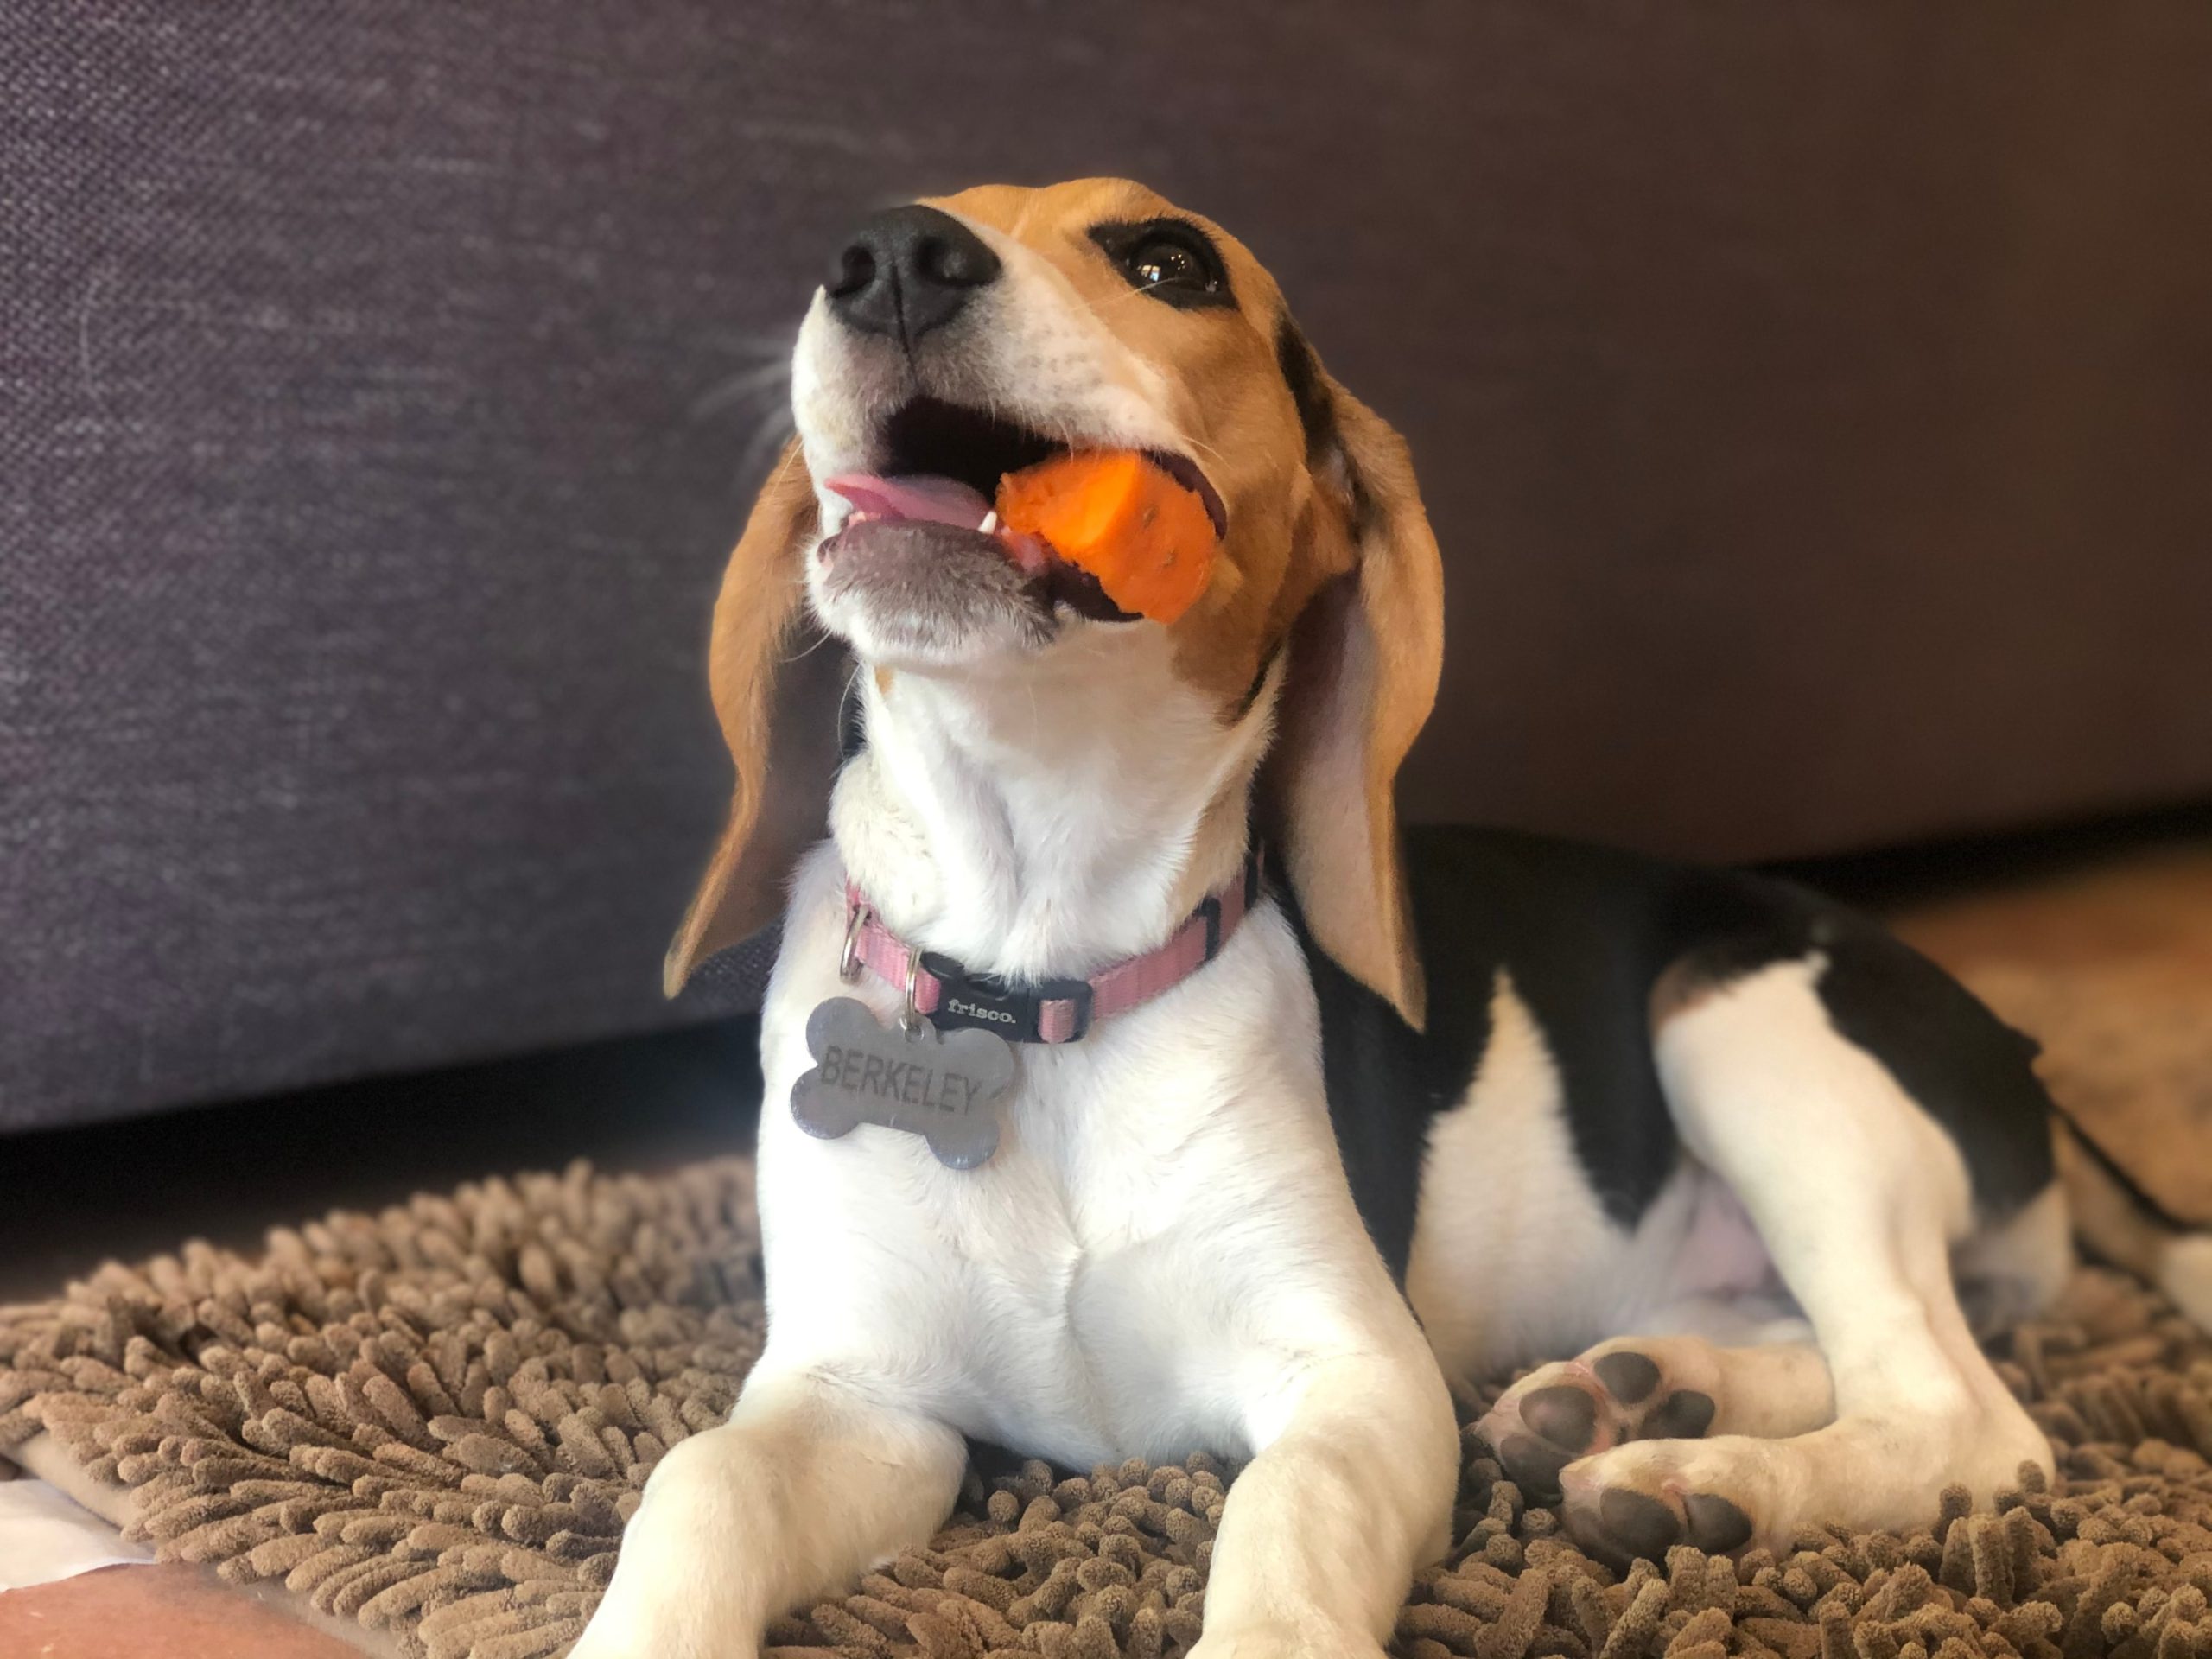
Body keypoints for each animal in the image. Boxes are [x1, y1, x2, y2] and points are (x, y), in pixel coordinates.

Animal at [570, 179, 2177, 1659]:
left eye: (1171, 260)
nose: (891, 255)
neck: (1039, 981)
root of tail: (2015, 1048)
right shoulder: (863, 1397)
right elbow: (701, 1481)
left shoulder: (1359, 1379)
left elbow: (1289, 1523)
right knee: (1823, 1345)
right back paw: (1634, 1392)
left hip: (1746, 1031)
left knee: (1960, 1418)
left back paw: (1698, 1474)